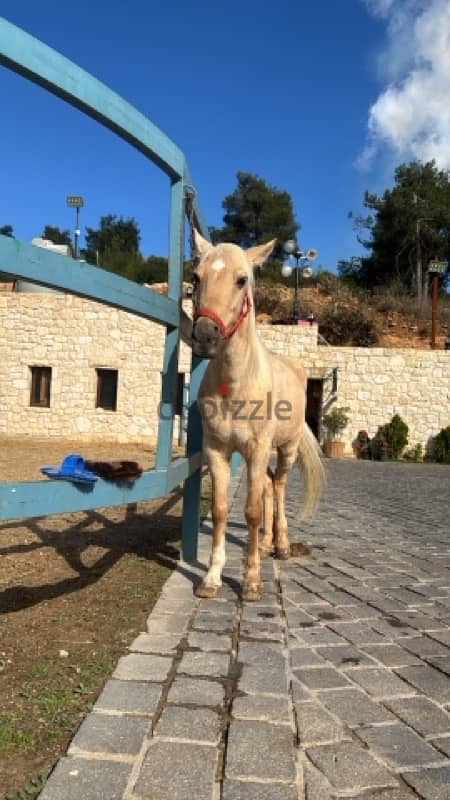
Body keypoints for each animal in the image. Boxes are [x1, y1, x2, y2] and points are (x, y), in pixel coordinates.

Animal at [190, 230, 325, 601]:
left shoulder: (258, 448)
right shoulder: (218, 450)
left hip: (285, 449)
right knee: (266, 486)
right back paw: (265, 545)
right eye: (196, 277)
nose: (205, 336)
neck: (236, 384)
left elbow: (250, 511)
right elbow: (220, 510)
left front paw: (251, 581)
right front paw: (212, 578)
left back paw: (281, 545)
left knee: (277, 487)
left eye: (242, 280)